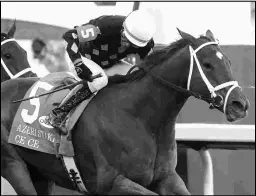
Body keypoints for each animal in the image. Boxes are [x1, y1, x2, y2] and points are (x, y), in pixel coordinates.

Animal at [1, 28, 250, 194]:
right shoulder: (113, 182)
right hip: (14, 165)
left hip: (42, 174)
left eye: (227, 61)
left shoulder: (168, 178)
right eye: (207, 65)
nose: (240, 104)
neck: (144, 120)